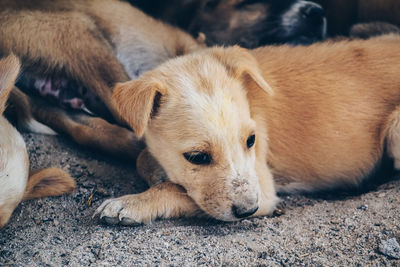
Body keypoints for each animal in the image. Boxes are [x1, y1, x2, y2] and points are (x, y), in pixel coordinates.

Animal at [94, 34, 400, 225]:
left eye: (251, 140)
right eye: (197, 157)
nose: (247, 210)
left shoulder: (263, 187)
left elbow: (176, 192)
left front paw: (133, 203)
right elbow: (143, 158)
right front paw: (156, 171)